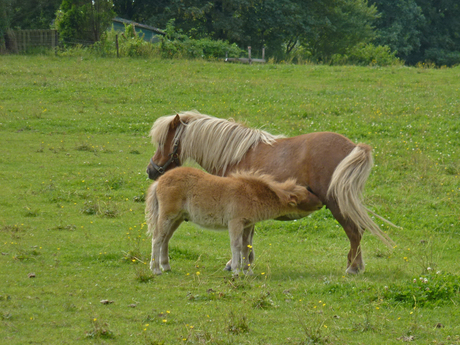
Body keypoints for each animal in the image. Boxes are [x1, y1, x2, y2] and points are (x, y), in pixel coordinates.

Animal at [146, 166, 322, 274]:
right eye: (305, 198)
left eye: (308, 191)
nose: (321, 202)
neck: (251, 193)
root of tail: (159, 181)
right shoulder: (235, 222)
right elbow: (236, 245)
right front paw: (237, 270)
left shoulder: (248, 224)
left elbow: (246, 246)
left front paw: (247, 271)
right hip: (167, 216)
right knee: (157, 238)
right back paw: (155, 269)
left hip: (177, 219)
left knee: (165, 239)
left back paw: (166, 266)